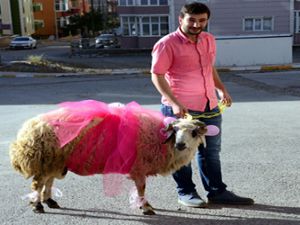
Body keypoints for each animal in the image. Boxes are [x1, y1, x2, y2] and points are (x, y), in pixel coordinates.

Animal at [8, 100, 216, 214]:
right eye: (175, 131)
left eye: (194, 133)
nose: (181, 145)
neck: (160, 140)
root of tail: (28, 131)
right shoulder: (138, 167)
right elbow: (141, 188)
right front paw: (145, 207)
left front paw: (142, 205)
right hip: (48, 158)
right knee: (38, 183)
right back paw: (37, 205)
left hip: (54, 160)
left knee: (48, 181)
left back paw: (49, 201)